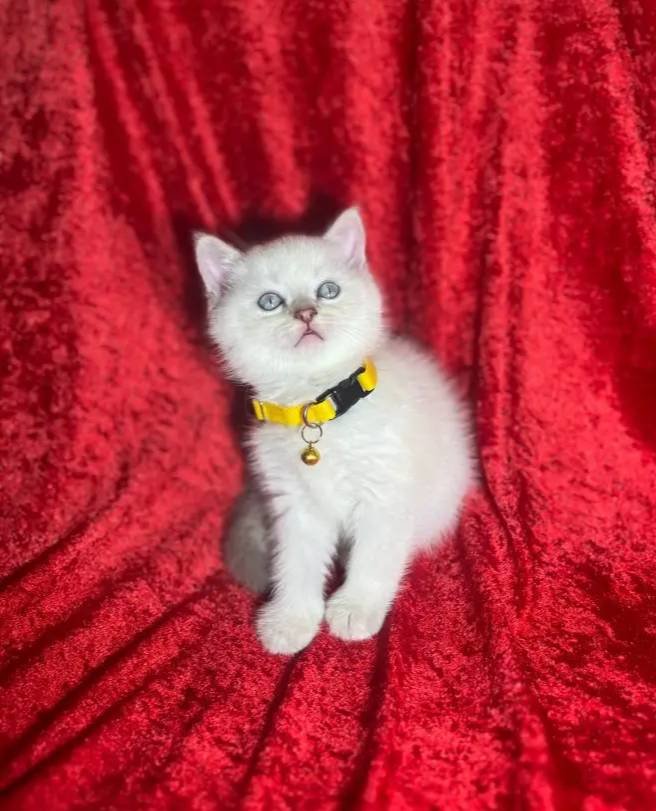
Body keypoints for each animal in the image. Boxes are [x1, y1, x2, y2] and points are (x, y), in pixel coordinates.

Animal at [194, 208, 473, 655]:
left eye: (327, 290)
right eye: (269, 301)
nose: (307, 312)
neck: (317, 410)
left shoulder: (384, 495)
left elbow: (374, 557)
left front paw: (356, 608)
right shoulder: (295, 505)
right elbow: (296, 563)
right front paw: (291, 620)